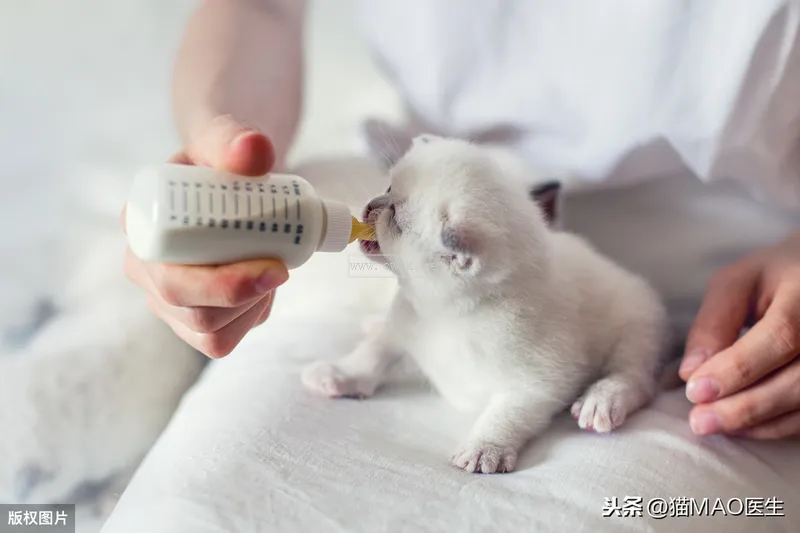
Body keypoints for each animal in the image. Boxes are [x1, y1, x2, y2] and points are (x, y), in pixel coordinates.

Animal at [304, 135, 672, 472]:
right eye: (389, 186)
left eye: (397, 220)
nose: (372, 204)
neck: (446, 314)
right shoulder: (403, 323)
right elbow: (374, 353)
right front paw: (341, 374)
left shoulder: (536, 383)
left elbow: (505, 415)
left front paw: (484, 447)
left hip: (635, 326)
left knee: (635, 377)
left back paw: (603, 399)